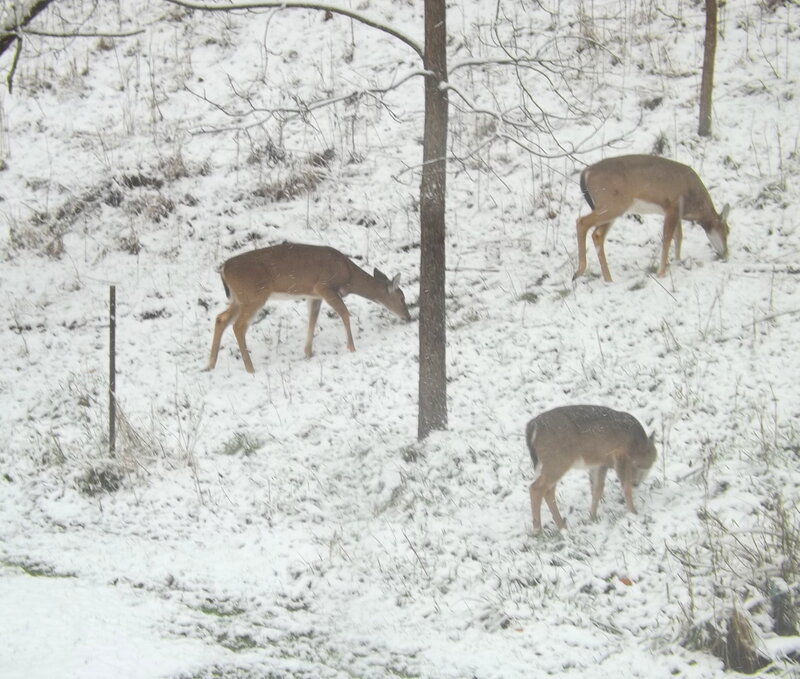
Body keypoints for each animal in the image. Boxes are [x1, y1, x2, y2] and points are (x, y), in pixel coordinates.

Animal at [208, 242, 411, 373]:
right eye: (402, 298)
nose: (408, 317)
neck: (349, 276)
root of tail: (224, 269)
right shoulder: (324, 285)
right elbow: (345, 313)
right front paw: (352, 348)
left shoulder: (315, 295)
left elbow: (313, 319)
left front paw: (308, 352)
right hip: (254, 295)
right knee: (238, 326)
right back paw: (250, 368)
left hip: (239, 298)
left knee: (220, 318)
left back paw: (210, 364)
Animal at [526, 405, 657, 532]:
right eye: (638, 466)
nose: (636, 483)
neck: (637, 446)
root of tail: (532, 426)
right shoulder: (620, 456)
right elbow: (625, 486)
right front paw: (633, 513)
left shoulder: (600, 463)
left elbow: (597, 488)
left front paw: (592, 517)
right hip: (557, 460)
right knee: (536, 488)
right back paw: (538, 530)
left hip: (550, 463)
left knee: (548, 490)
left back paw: (562, 527)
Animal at [573, 154, 730, 282]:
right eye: (728, 231)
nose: (726, 254)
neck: (694, 203)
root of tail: (586, 173)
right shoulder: (672, 206)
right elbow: (667, 238)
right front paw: (662, 273)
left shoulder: (674, 211)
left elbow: (678, 236)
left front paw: (678, 260)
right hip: (612, 204)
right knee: (582, 222)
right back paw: (579, 271)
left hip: (609, 208)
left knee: (597, 234)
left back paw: (608, 279)